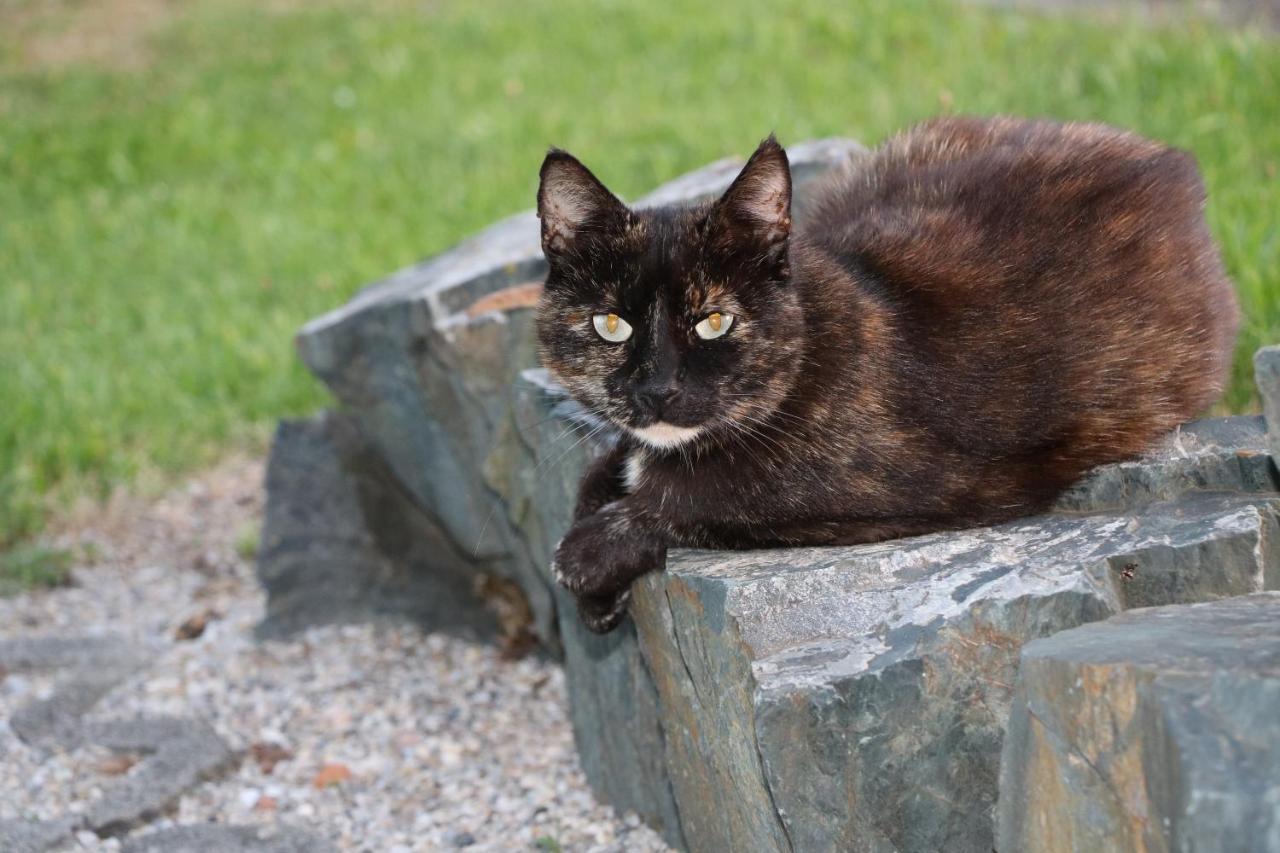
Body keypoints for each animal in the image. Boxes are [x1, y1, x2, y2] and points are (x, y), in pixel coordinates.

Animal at [532, 114, 1239, 630]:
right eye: (610, 324)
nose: (658, 389)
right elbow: (606, 468)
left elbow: (714, 497)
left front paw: (589, 554)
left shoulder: (916, 494)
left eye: (714, 322)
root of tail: (1169, 160)